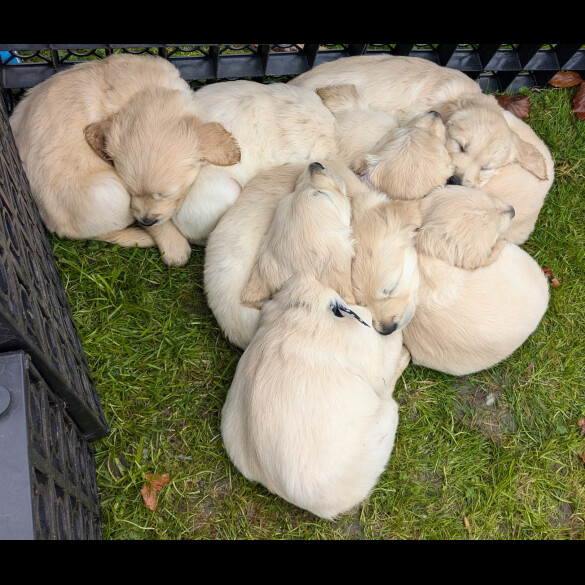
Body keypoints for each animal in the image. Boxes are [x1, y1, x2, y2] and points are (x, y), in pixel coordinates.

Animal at [9, 54, 238, 264]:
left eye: (167, 195)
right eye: (131, 191)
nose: (146, 222)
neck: (146, 91)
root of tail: (54, 227)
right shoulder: (131, 202)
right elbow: (154, 218)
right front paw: (174, 246)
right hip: (109, 190)